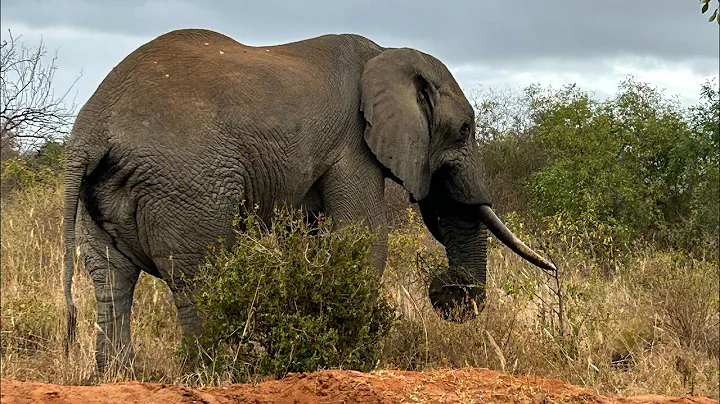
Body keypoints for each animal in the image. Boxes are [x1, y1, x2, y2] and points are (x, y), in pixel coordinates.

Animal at [63, 28, 556, 372]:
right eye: (465, 130)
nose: (442, 287)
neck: (385, 54)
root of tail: (90, 133)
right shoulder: (353, 146)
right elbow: (363, 237)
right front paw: (355, 362)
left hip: (106, 194)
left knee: (110, 280)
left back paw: (117, 378)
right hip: (188, 183)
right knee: (199, 276)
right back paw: (219, 373)